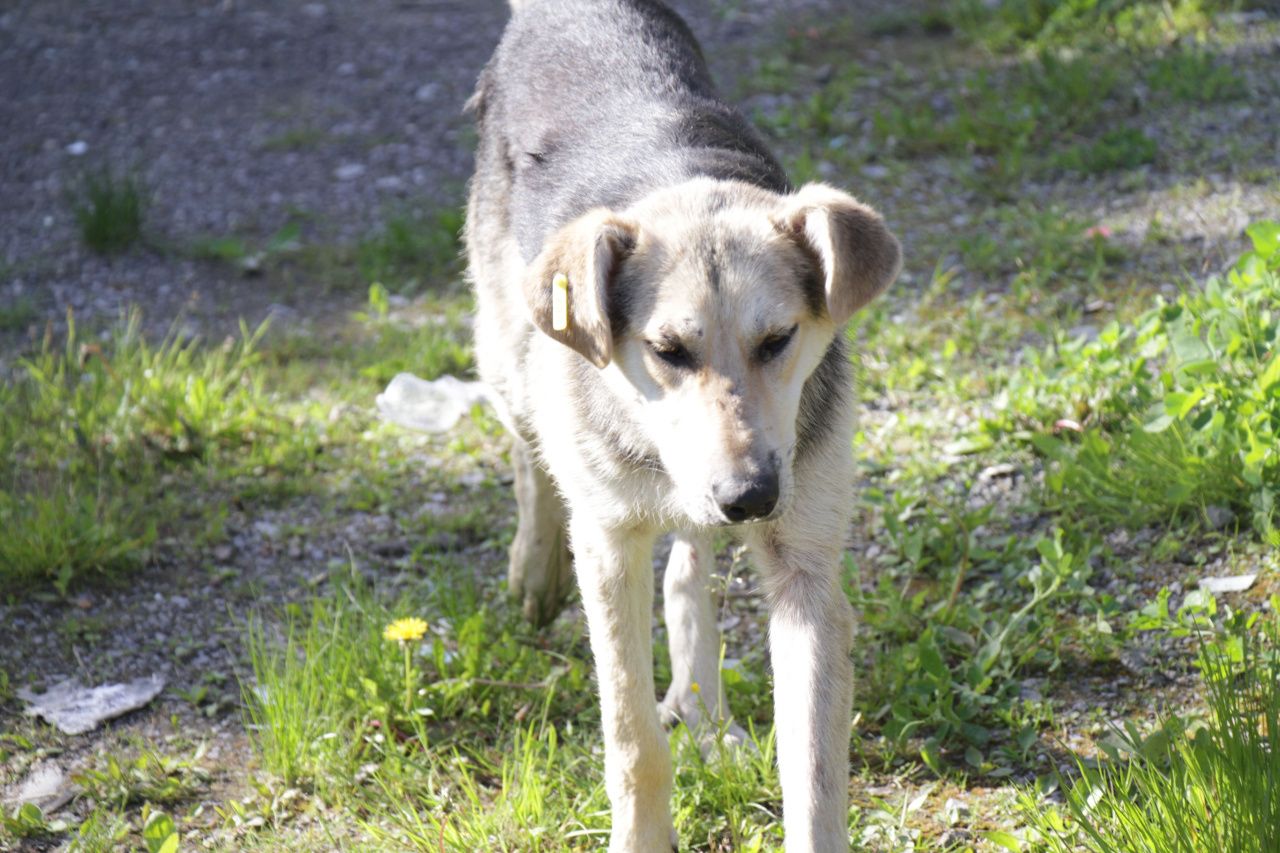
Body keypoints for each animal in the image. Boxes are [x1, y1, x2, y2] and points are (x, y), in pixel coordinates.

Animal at [463, 3, 901, 845]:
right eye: (667, 349)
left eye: (779, 339)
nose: (752, 496)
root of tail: (560, 11)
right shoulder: (609, 546)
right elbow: (633, 739)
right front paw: (641, 834)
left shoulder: (805, 571)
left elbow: (814, 771)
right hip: (504, 346)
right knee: (530, 447)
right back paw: (534, 566)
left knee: (687, 566)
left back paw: (705, 713)